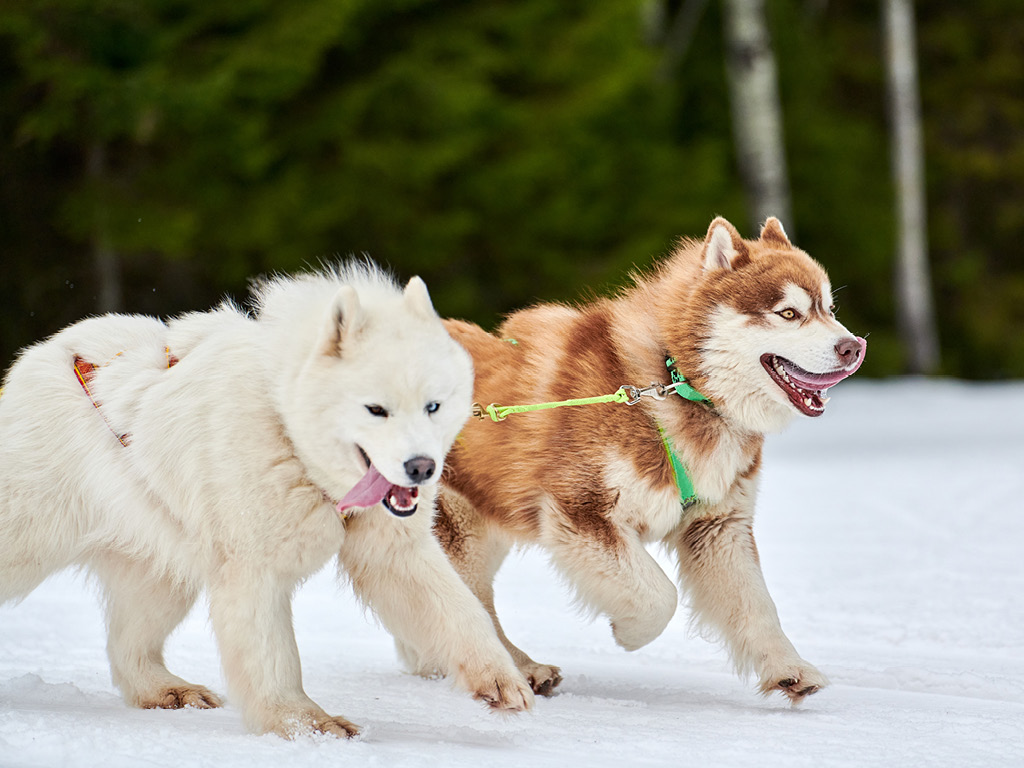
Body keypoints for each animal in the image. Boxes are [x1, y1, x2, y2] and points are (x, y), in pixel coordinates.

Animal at [4, 266, 536, 741]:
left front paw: (501, 680)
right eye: (376, 409)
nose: (422, 467)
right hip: (34, 534)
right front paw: (307, 725)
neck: (286, 426)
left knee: (130, 645)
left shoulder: (391, 549)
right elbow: (274, 655)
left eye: (433, 405)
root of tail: (44, 354)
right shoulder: (252, 566)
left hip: (161, 566)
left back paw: (169, 690)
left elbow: (458, 611)